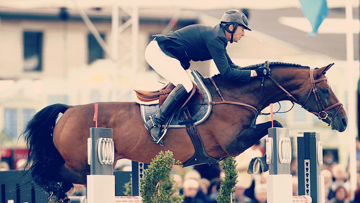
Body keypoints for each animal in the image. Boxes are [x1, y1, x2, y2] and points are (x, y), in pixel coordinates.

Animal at [21, 62, 346, 201]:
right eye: (325, 90)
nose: (343, 121)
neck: (237, 95)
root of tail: (67, 111)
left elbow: (273, 126)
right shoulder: (231, 143)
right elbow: (274, 125)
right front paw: (259, 162)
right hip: (82, 165)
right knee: (44, 172)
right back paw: (56, 192)